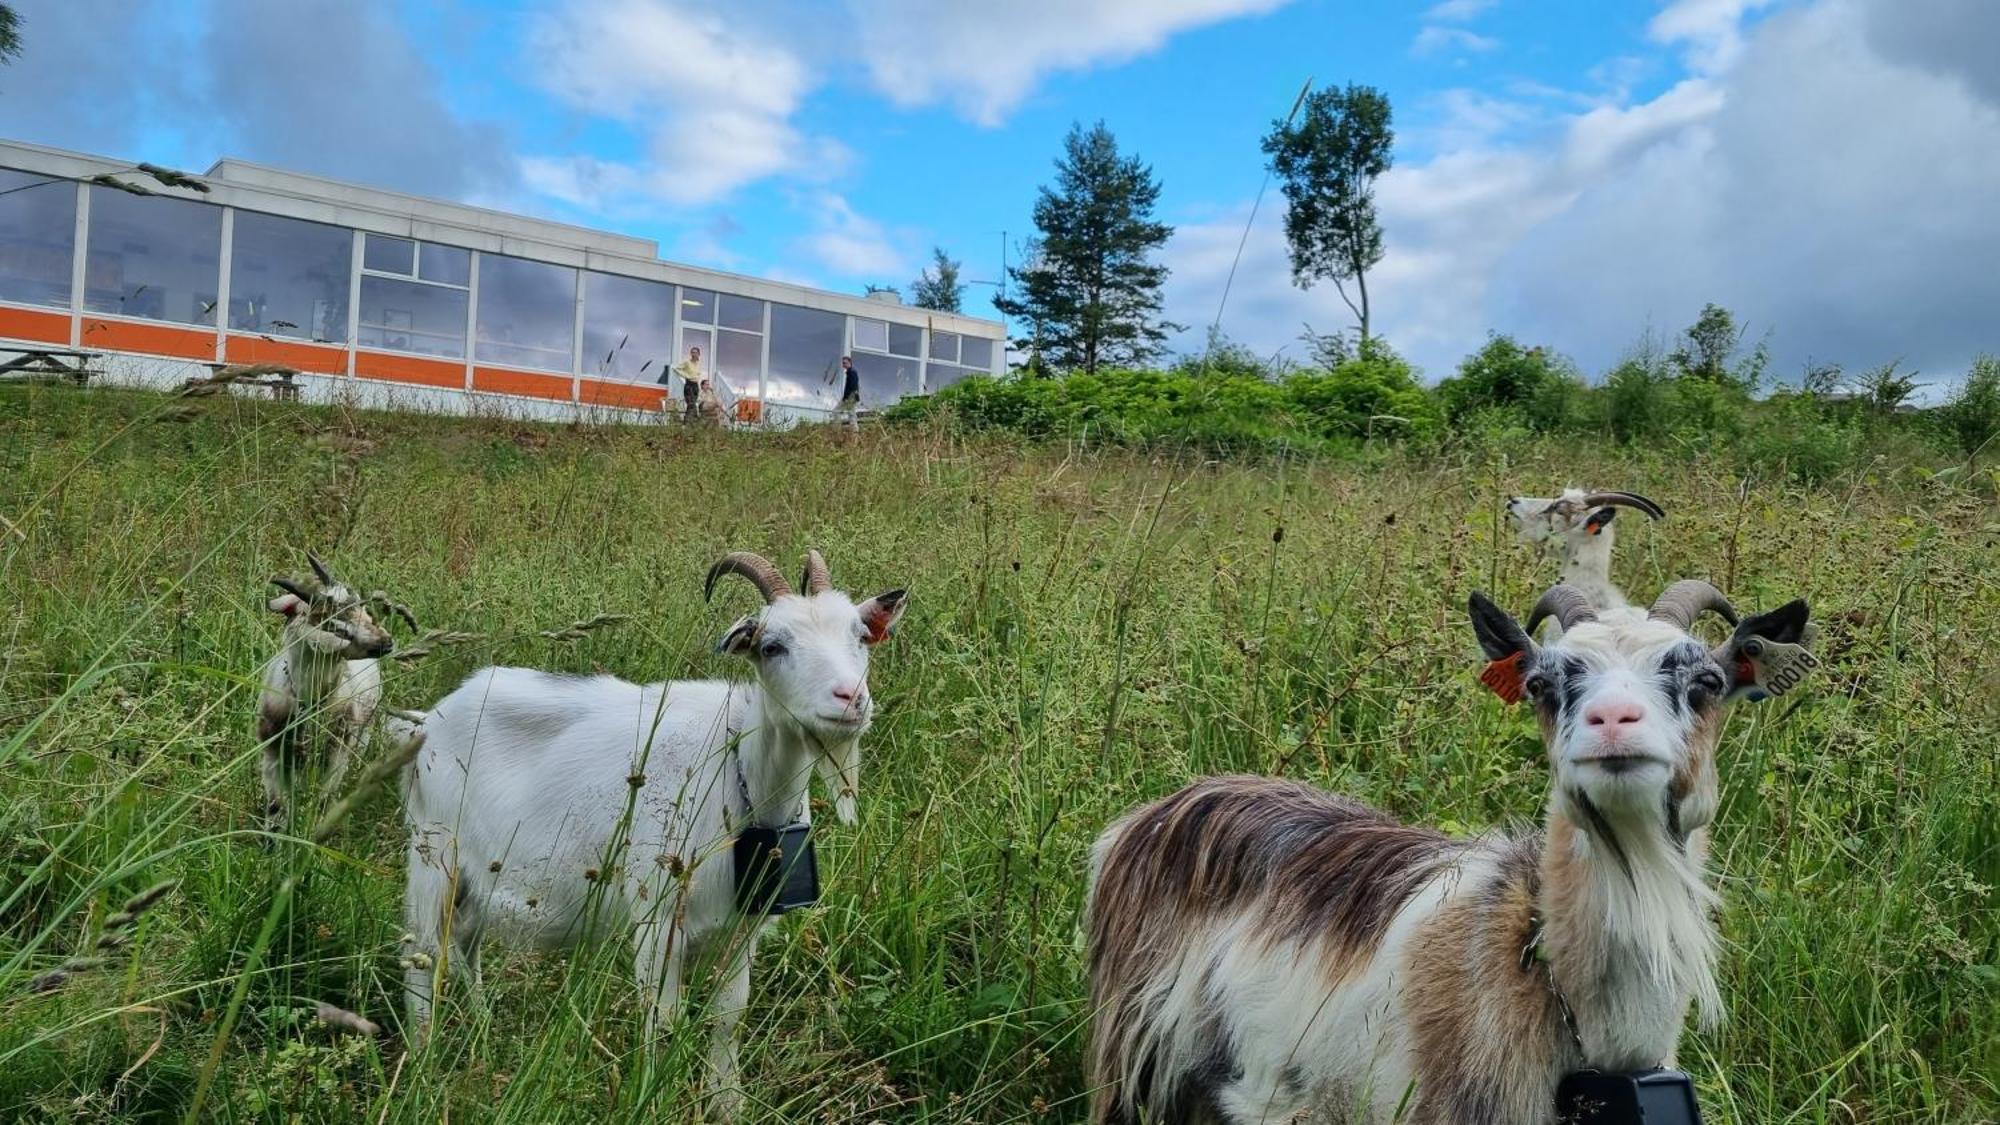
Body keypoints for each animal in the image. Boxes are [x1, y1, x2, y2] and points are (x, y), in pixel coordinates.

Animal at [258, 548, 394, 828]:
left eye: (363, 610)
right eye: (334, 627)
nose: (386, 642)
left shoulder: (337, 749)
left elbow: (323, 797)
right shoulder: (272, 749)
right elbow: (277, 805)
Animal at [398, 544, 908, 1112]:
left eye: (859, 636)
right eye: (773, 646)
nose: (850, 698)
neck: (739, 776)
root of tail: (426, 720)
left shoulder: (744, 930)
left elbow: (728, 1018)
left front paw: (727, 1103)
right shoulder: (656, 917)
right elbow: (661, 1017)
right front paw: (652, 1095)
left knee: (465, 943)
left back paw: (483, 1030)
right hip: (432, 853)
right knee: (421, 953)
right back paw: (423, 1059)